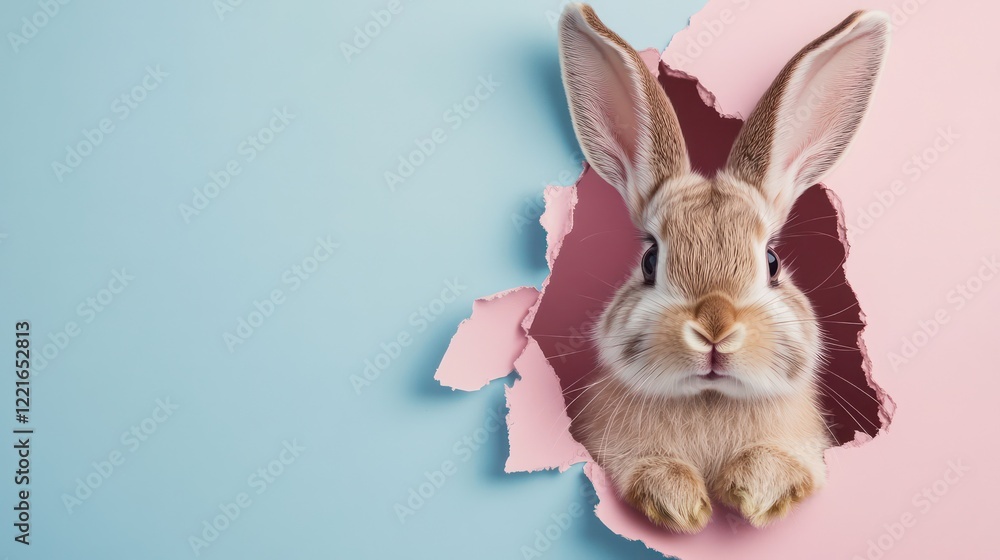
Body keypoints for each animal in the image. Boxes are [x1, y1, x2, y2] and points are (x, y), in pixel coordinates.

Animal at [557, 4, 889, 533]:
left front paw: (756, 491)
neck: (709, 398)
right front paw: (680, 502)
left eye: (772, 262)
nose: (715, 327)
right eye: (650, 260)